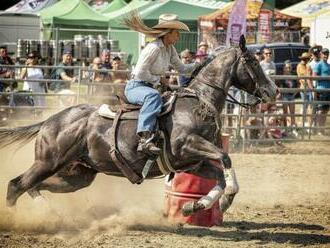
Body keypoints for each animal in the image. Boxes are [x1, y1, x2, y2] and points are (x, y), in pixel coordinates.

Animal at [0, 35, 278, 216]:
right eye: (253, 62)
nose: (273, 91)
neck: (199, 102)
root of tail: (50, 121)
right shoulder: (187, 146)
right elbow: (225, 157)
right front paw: (227, 198)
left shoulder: (193, 162)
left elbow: (219, 176)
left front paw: (197, 205)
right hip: (48, 162)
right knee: (16, 185)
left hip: (76, 175)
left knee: (32, 186)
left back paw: (45, 210)